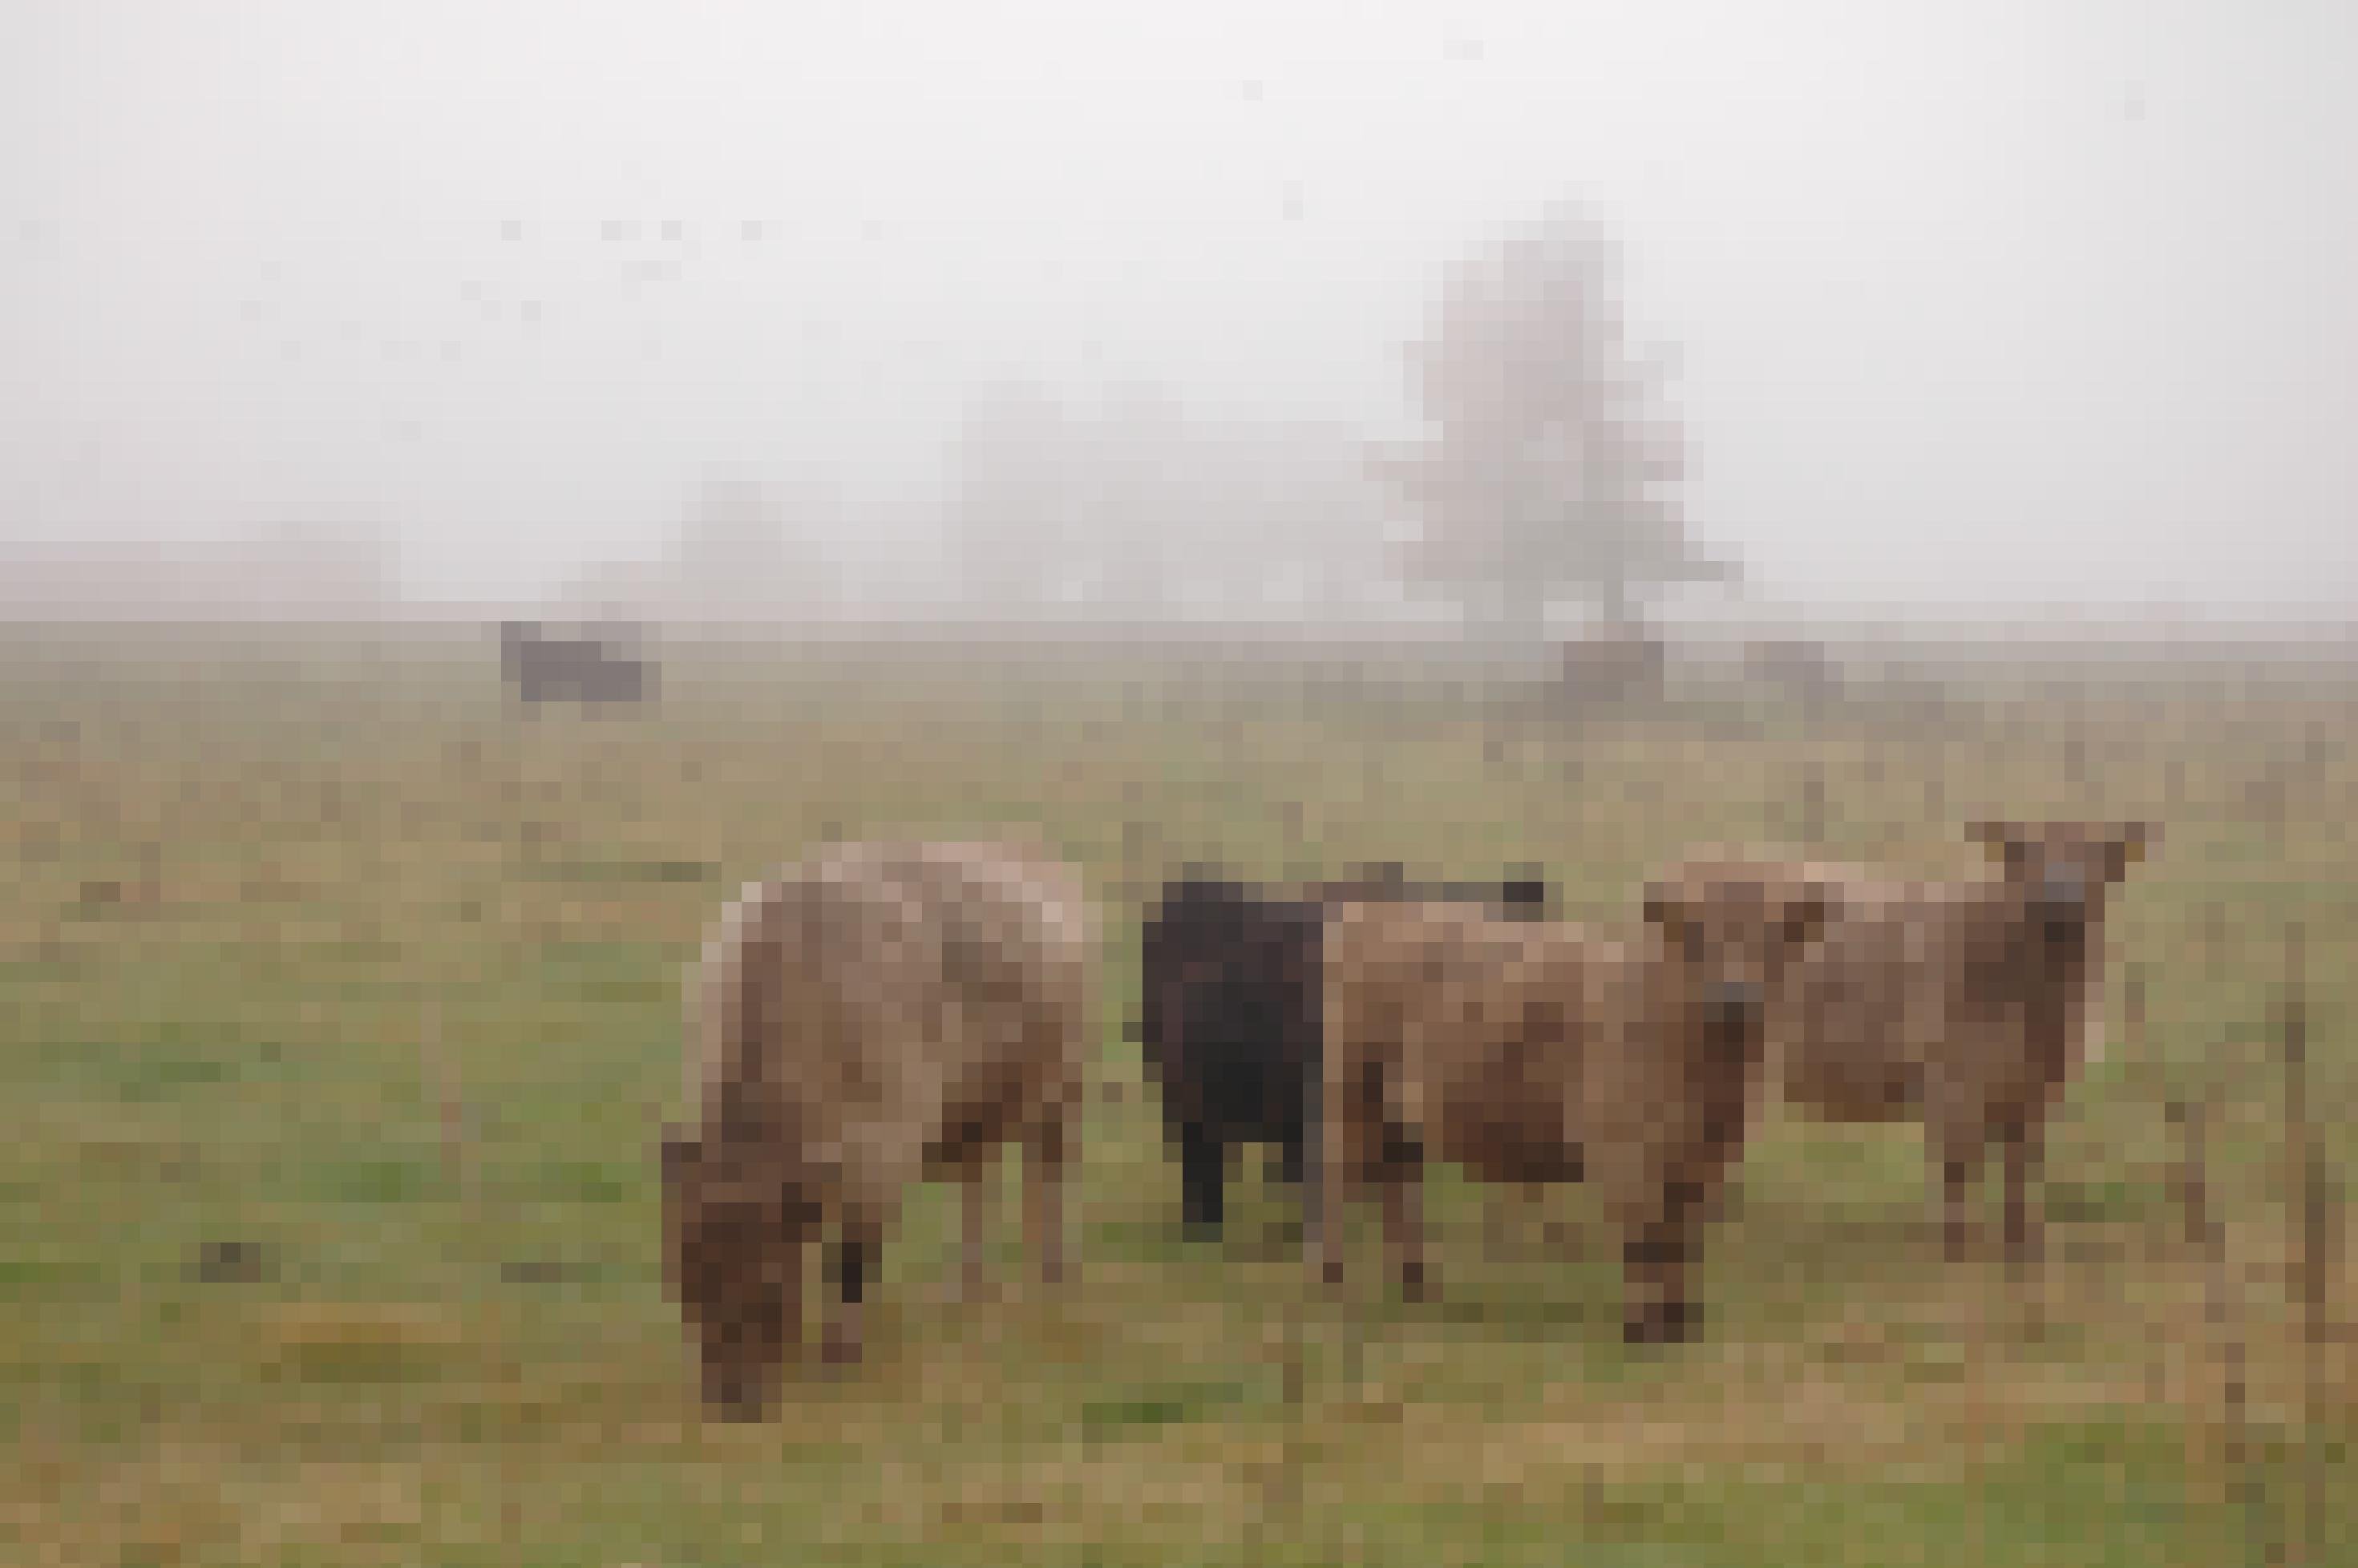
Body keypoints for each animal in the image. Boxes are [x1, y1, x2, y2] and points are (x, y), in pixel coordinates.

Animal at [660, 839, 1089, 1414]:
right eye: (687, 1277)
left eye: (771, 1280)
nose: (732, 1401)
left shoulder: (881, 1156)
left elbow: (852, 1260)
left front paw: (842, 1352)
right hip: (974, 1115)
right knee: (976, 1186)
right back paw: (968, 1293)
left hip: (1060, 1094)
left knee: (1048, 1181)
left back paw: (1050, 1279)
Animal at [1311, 867, 1838, 1348]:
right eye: (1696, 937)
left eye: (1774, 937)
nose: (1736, 999)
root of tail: (1373, 910)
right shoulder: (1627, 1151)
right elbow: (1645, 1240)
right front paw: (1642, 1330)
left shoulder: (1702, 1162)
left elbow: (1683, 1241)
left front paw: (1682, 1323)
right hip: (1351, 1091)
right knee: (1340, 1174)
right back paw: (1334, 1280)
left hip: (1398, 1113)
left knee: (1396, 1180)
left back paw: (1415, 1282)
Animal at [1678, 810, 2159, 1263]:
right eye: (2023, 853)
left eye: (2098, 853)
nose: (2061, 899)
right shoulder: (1952, 1083)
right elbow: (1956, 1172)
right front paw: (1955, 1256)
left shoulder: (2032, 1092)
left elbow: (2020, 1174)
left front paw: (2020, 1251)